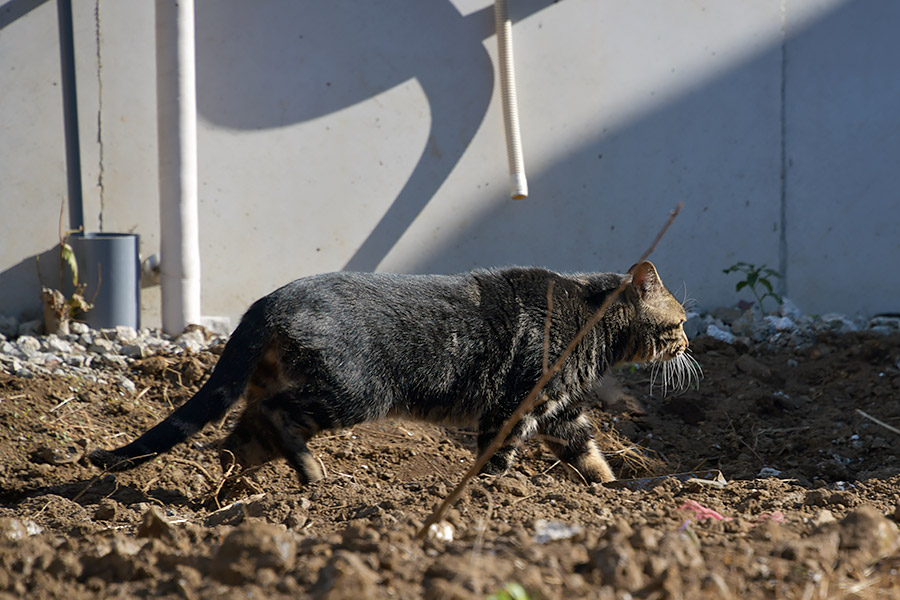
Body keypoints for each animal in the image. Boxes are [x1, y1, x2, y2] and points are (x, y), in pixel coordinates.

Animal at [89, 262, 696, 482]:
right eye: (681, 322)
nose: (690, 342)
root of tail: (268, 300)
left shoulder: (561, 411)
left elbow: (590, 453)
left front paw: (613, 493)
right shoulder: (516, 404)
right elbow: (495, 456)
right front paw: (494, 494)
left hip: (287, 387)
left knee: (238, 436)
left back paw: (239, 488)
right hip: (354, 392)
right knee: (275, 416)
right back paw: (311, 474)